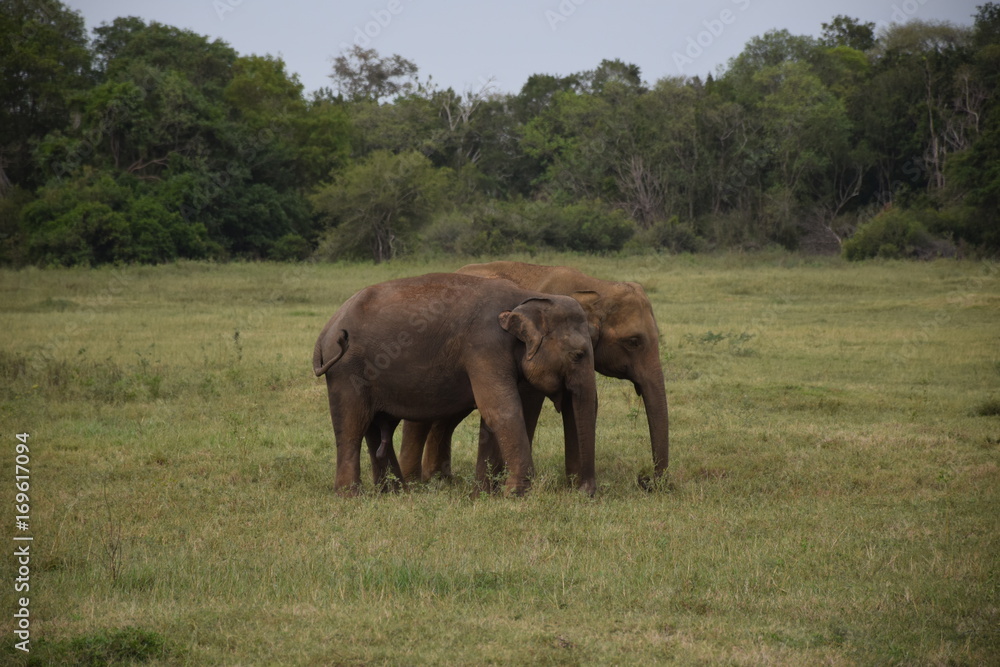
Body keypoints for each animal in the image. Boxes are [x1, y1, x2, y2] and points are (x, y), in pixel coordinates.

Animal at [312, 272, 596, 496]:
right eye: (578, 355)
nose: (584, 492)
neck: (528, 296)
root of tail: (326, 331)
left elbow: (491, 417)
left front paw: (483, 494)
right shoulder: (484, 346)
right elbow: (501, 410)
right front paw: (515, 494)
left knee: (377, 430)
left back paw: (394, 493)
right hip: (346, 372)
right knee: (352, 428)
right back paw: (351, 496)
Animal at [400, 260, 672, 486]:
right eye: (633, 341)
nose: (645, 480)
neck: (595, 286)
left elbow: (581, 402)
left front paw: (572, 486)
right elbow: (529, 404)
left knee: (448, 416)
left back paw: (441, 480)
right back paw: (417, 481)